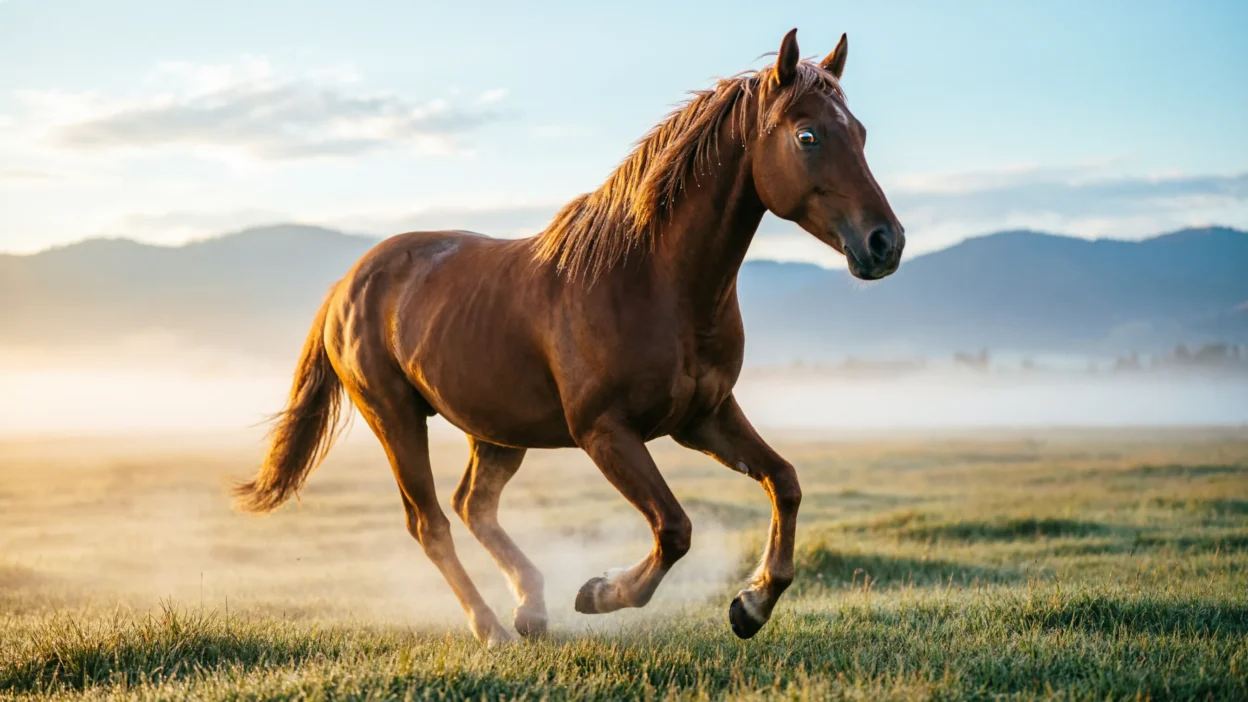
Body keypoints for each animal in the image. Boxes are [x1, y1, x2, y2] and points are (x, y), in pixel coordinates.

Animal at [233, 28, 903, 646]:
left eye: (862, 133)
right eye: (808, 136)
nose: (885, 243)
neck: (651, 279)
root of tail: (347, 284)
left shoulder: (703, 417)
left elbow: (784, 483)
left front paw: (752, 605)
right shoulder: (604, 431)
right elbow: (674, 529)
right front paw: (601, 593)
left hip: (495, 430)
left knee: (473, 504)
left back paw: (529, 608)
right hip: (395, 418)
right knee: (431, 523)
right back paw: (492, 628)